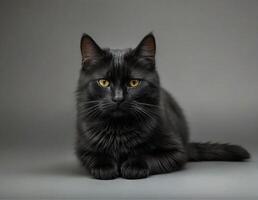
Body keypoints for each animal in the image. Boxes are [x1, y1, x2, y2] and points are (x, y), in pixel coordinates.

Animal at [75, 32, 250, 180]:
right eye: (104, 82)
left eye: (134, 82)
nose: (118, 98)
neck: (119, 130)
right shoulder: (83, 149)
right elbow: (95, 157)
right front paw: (104, 167)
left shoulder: (177, 152)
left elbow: (147, 156)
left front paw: (133, 166)